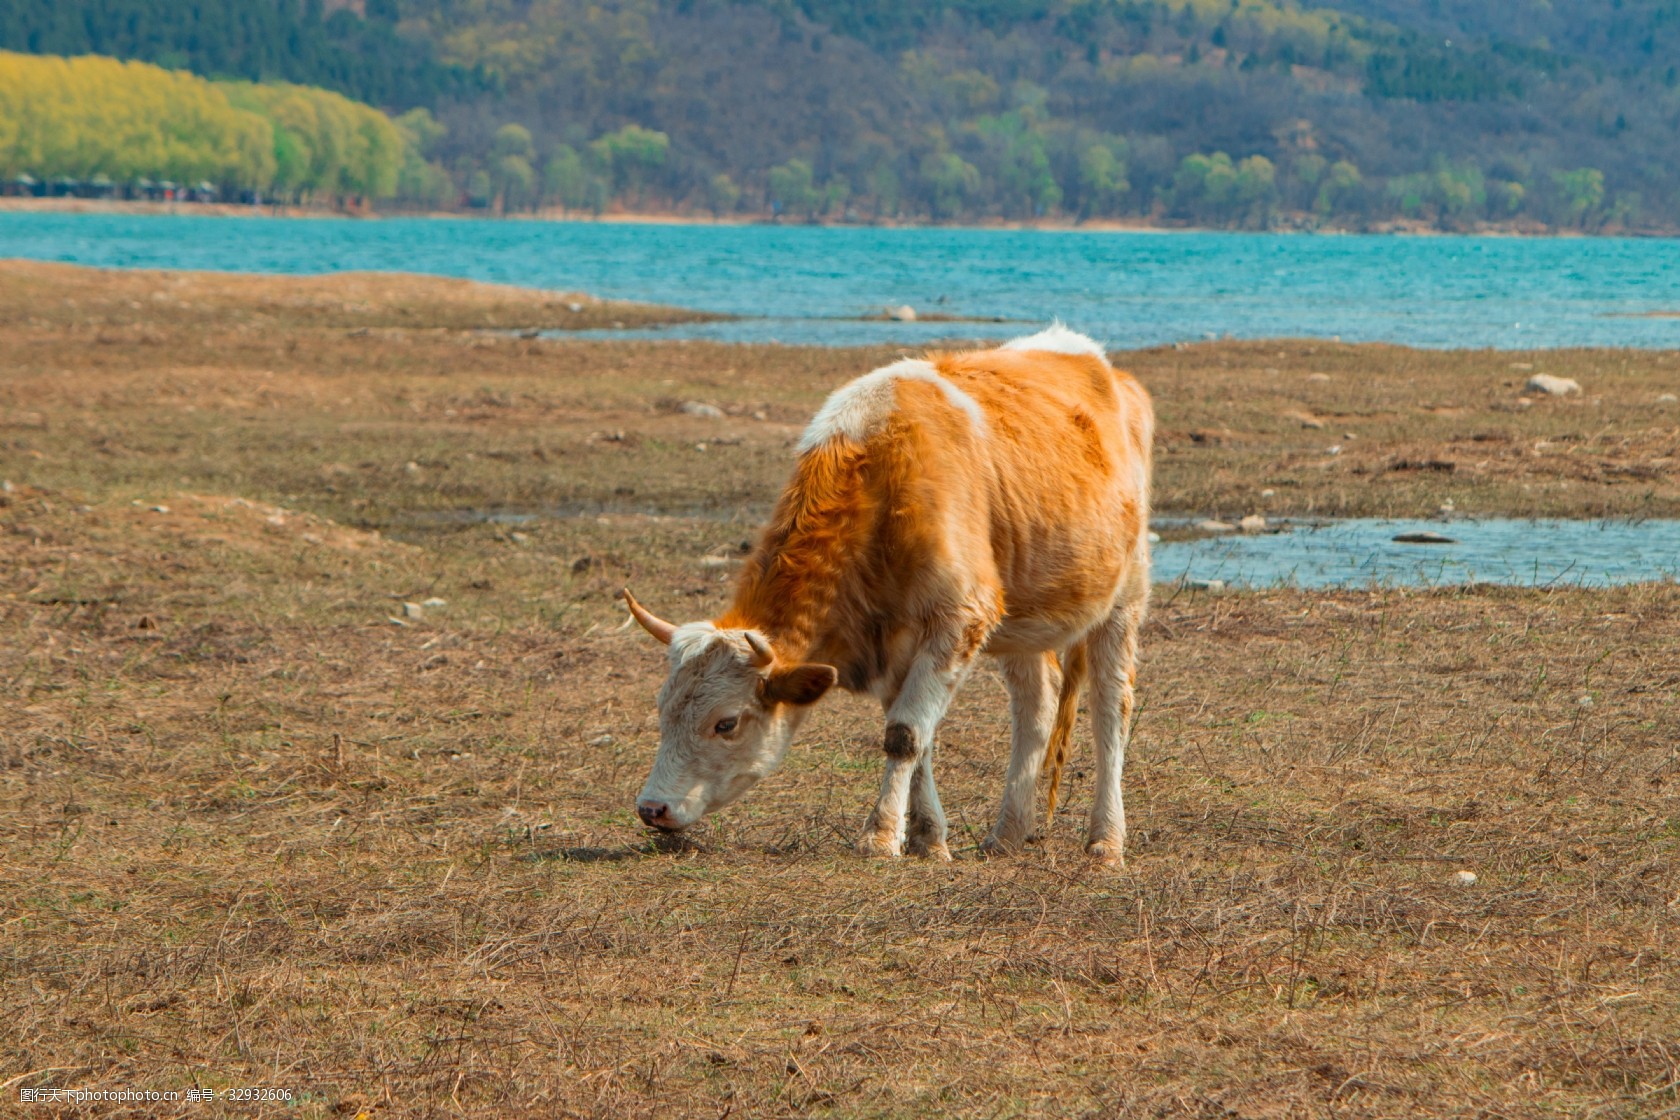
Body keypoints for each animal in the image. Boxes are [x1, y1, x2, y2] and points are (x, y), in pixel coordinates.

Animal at [621, 324, 1155, 866]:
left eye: (726, 723)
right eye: (664, 708)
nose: (653, 808)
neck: (879, 475)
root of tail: (1099, 363)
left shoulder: (960, 617)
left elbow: (904, 735)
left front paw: (879, 835)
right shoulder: (894, 640)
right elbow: (919, 738)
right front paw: (926, 837)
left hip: (1124, 595)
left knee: (1112, 709)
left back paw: (1106, 841)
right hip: (1024, 615)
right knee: (1036, 705)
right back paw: (1006, 833)